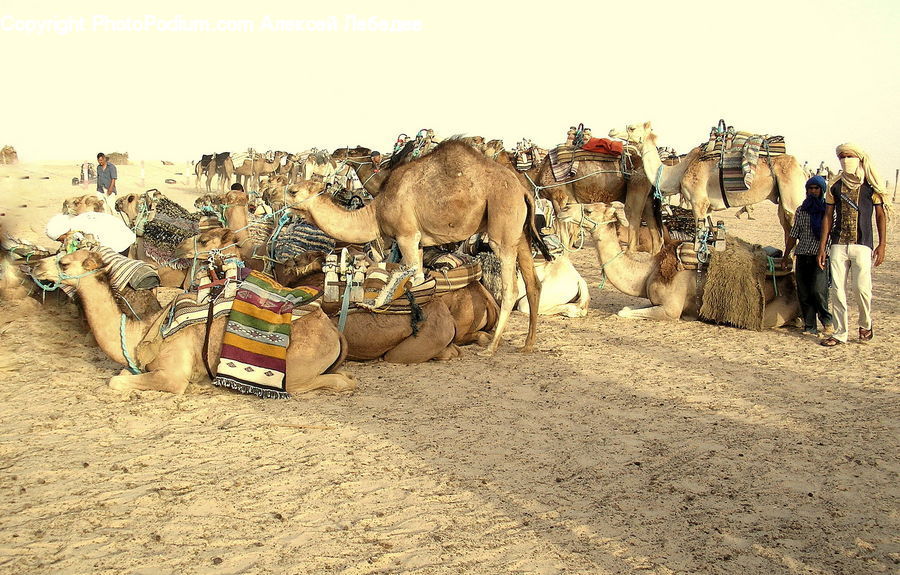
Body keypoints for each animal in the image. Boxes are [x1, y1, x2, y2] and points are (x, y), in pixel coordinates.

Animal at [31, 249, 355, 395]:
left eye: (64, 262)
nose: (35, 265)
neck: (142, 333)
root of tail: (332, 330)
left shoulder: (173, 375)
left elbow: (116, 380)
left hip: (295, 373)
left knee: (335, 382)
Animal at [284, 140, 550, 355]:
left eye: (293, 190)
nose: (280, 202)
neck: (376, 210)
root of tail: (522, 189)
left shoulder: (406, 236)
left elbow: (416, 279)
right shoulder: (420, 242)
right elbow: (420, 279)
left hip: (502, 221)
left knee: (510, 287)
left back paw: (492, 348)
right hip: (520, 231)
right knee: (533, 282)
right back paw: (528, 344)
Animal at [558, 202, 798, 327]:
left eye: (589, 210)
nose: (564, 209)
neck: (649, 271)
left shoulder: (670, 309)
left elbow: (623, 311)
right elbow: (627, 308)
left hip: (771, 314)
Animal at [611, 122, 806, 249]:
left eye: (631, 127)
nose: (612, 130)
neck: (678, 171)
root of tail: (800, 167)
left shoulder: (698, 203)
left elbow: (698, 242)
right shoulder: (708, 208)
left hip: (793, 195)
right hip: (781, 198)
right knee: (787, 231)